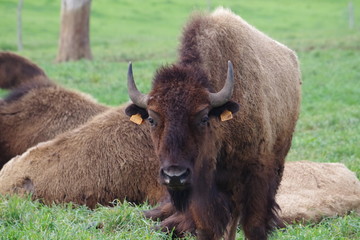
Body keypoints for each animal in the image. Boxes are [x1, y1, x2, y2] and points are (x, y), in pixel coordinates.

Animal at [125, 7, 302, 240]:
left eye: (203, 118)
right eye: (152, 119)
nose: (174, 176)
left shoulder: (257, 178)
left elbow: (254, 225)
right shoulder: (202, 191)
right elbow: (207, 227)